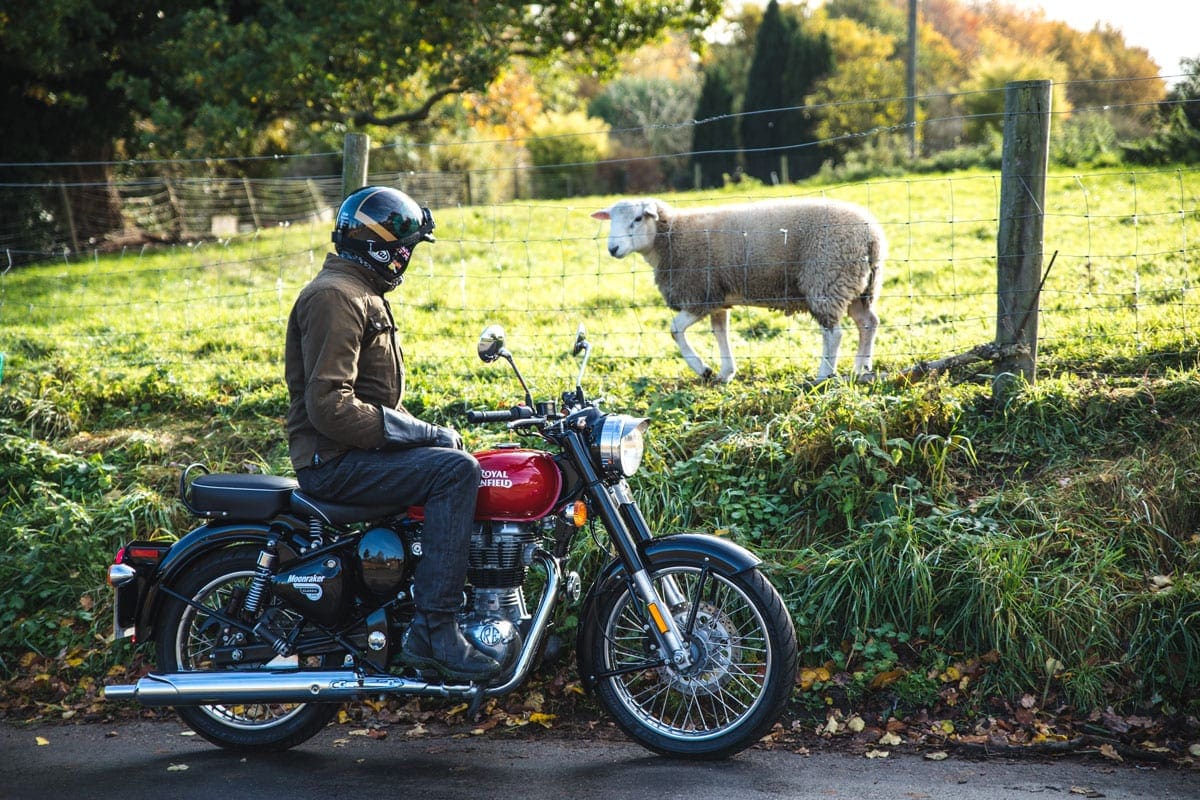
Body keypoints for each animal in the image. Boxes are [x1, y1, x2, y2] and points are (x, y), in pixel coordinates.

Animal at [592, 196, 888, 383]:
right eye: (611, 220)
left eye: (638, 218)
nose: (612, 249)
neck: (670, 239)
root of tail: (871, 235)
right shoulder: (718, 298)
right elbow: (720, 332)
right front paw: (726, 372)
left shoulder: (701, 294)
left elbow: (675, 330)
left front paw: (703, 369)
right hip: (858, 286)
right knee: (868, 323)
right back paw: (862, 368)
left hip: (826, 278)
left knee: (833, 333)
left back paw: (824, 374)